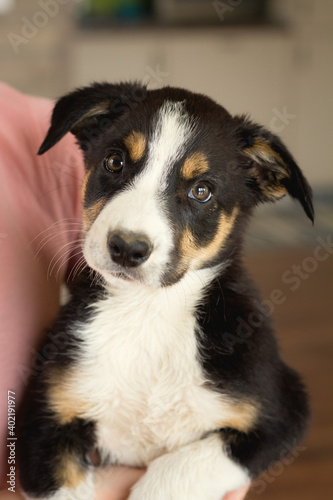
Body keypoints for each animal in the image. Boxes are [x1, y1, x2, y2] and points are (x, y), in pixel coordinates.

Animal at [17, 82, 312, 500]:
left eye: (202, 191)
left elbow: (174, 472)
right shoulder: (43, 417)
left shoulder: (282, 410)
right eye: (115, 162)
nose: (127, 247)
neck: (147, 310)